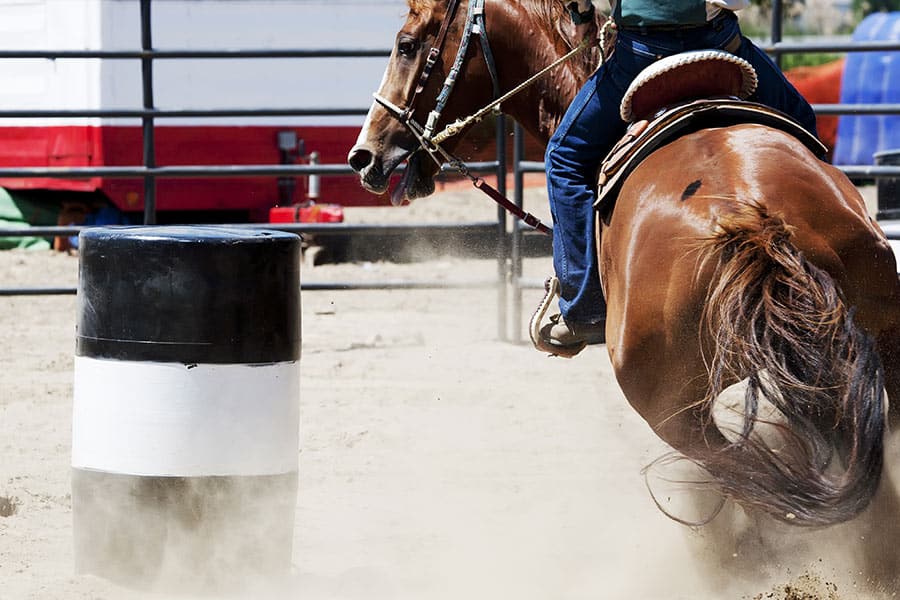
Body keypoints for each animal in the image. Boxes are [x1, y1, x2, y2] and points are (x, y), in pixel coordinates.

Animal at [348, 0, 900, 592]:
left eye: (407, 44)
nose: (364, 155)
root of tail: (752, 222)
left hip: (668, 408)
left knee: (746, 476)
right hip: (874, 354)